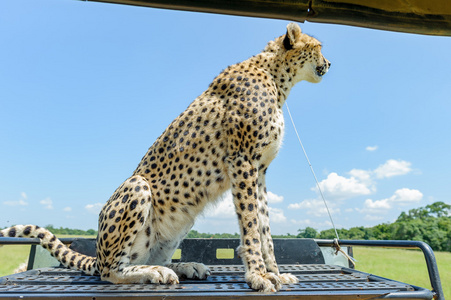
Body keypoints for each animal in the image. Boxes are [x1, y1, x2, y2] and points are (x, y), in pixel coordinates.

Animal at [1, 23, 330, 292]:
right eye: (318, 48)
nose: (329, 63)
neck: (275, 77)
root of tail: (98, 255)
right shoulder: (242, 162)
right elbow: (250, 227)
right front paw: (259, 276)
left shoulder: (258, 171)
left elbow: (264, 228)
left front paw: (275, 272)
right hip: (137, 186)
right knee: (110, 271)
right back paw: (153, 272)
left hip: (181, 219)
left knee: (148, 255)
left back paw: (182, 266)